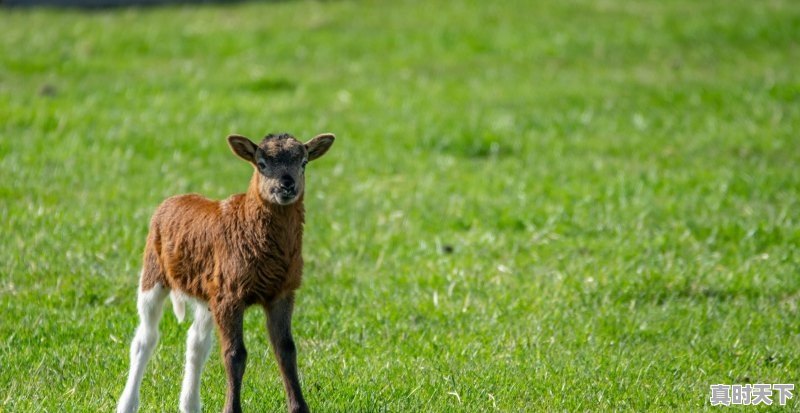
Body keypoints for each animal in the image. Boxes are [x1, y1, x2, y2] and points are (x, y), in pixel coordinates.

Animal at [115, 131, 334, 412]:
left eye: (303, 162)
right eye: (261, 164)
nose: (287, 185)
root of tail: (175, 198)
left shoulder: (282, 292)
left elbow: (286, 350)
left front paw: (299, 407)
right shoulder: (231, 294)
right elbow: (235, 354)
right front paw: (231, 408)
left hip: (208, 291)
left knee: (196, 342)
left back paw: (190, 405)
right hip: (153, 273)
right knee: (145, 338)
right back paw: (128, 403)